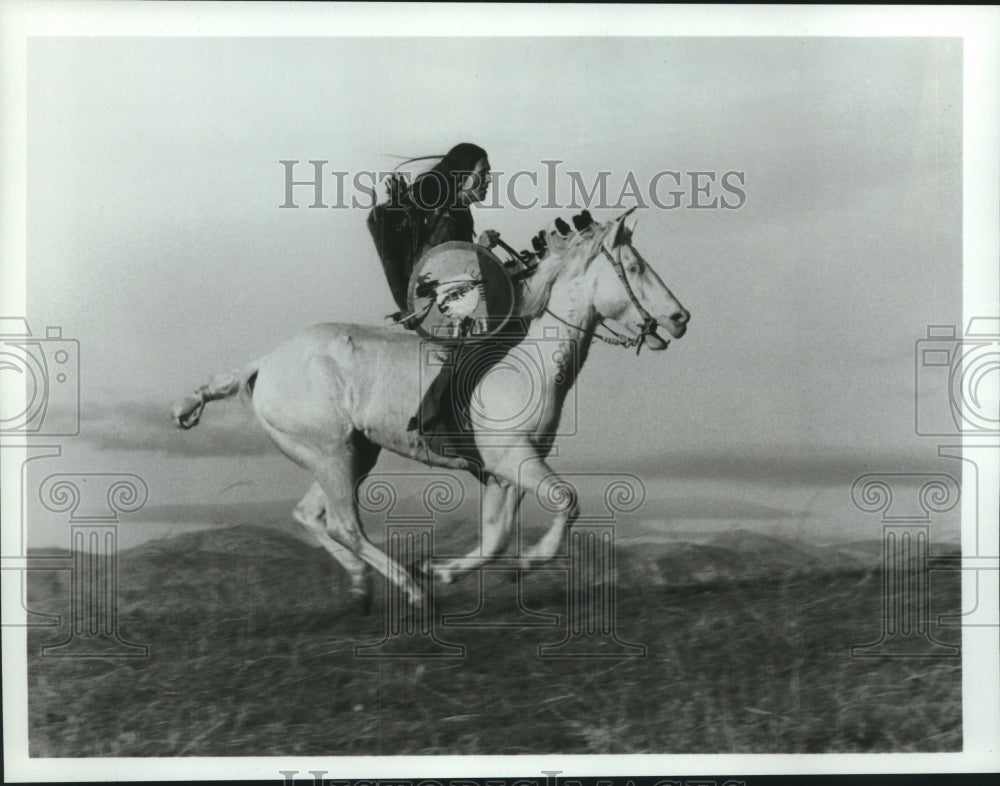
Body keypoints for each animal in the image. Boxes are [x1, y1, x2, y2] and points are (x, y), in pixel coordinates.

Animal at [170, 208, 688, 608]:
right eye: (634, 267)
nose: (679, 318)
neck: (531, 363)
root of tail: (265, 362)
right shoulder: (514, 460)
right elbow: (566, 501)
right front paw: (524, 563)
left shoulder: (504, 473)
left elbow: (496, 538)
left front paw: (444, 570)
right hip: (331, 454)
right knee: (344, 523)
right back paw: (411, 592)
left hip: (351, 455)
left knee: (309, 515)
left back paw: (363, 586)